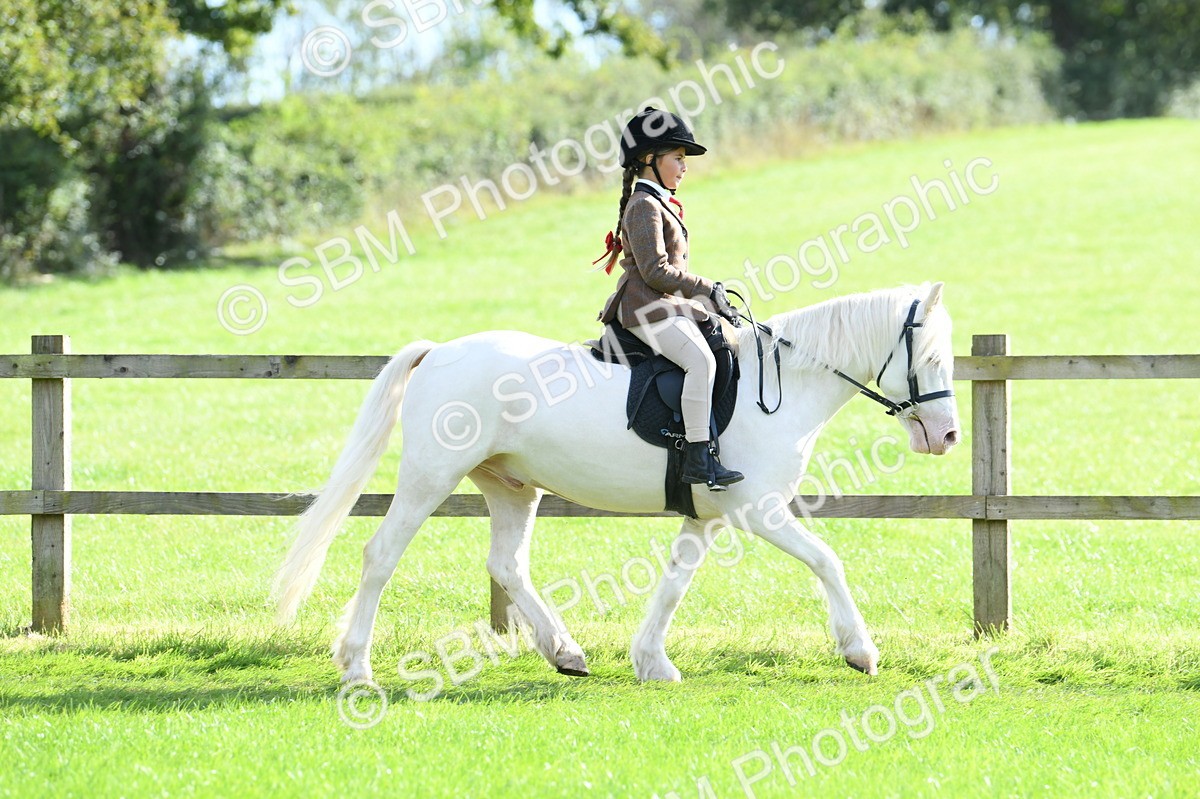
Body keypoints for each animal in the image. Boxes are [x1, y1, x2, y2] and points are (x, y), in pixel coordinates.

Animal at [272, 282, 959, 684]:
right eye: (930, 358)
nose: (948, 436)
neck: (786, 384)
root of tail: (440, 350)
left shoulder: (708, 516)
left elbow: (675, 584)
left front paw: (652, 661)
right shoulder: (758, 510)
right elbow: (827, 561)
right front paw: (860, 651)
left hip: (511, 486)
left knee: (506, 564)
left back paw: (565, 653)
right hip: (429, 476)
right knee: (381, 556)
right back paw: (357, 669)